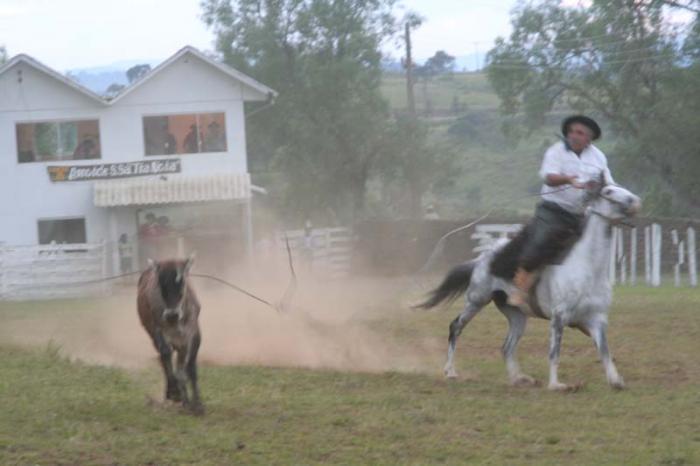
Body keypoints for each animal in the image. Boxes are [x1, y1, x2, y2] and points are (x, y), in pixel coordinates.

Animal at [418, 182, 644, 390]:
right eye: (608, 191)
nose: (635, 202)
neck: (587, 268)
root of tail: (482, 260)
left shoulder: (597, 318)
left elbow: (604, 350)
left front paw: (616, 380)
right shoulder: (559, 317)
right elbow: (554, 352)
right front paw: (556, 385)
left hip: (517, 315)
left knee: (507, 347)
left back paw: (519, 379)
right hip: (476, 300)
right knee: (456, 326)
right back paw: (450, 371)